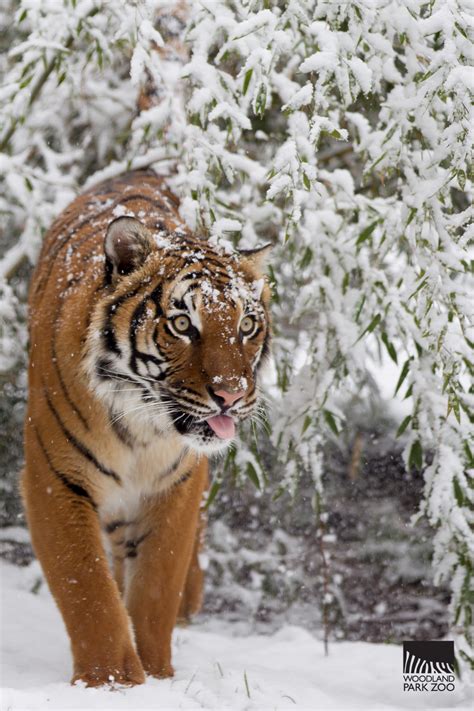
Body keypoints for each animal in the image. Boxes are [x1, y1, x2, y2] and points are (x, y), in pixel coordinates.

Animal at [22, 170, 272, 688]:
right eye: (182, 324)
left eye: (246, 326)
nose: (232, 394)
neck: (142, 430)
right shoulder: (55, 480)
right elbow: (89, 593)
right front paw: (112, 683)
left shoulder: (175, 485)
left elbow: (156, 590)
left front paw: (157, 678)